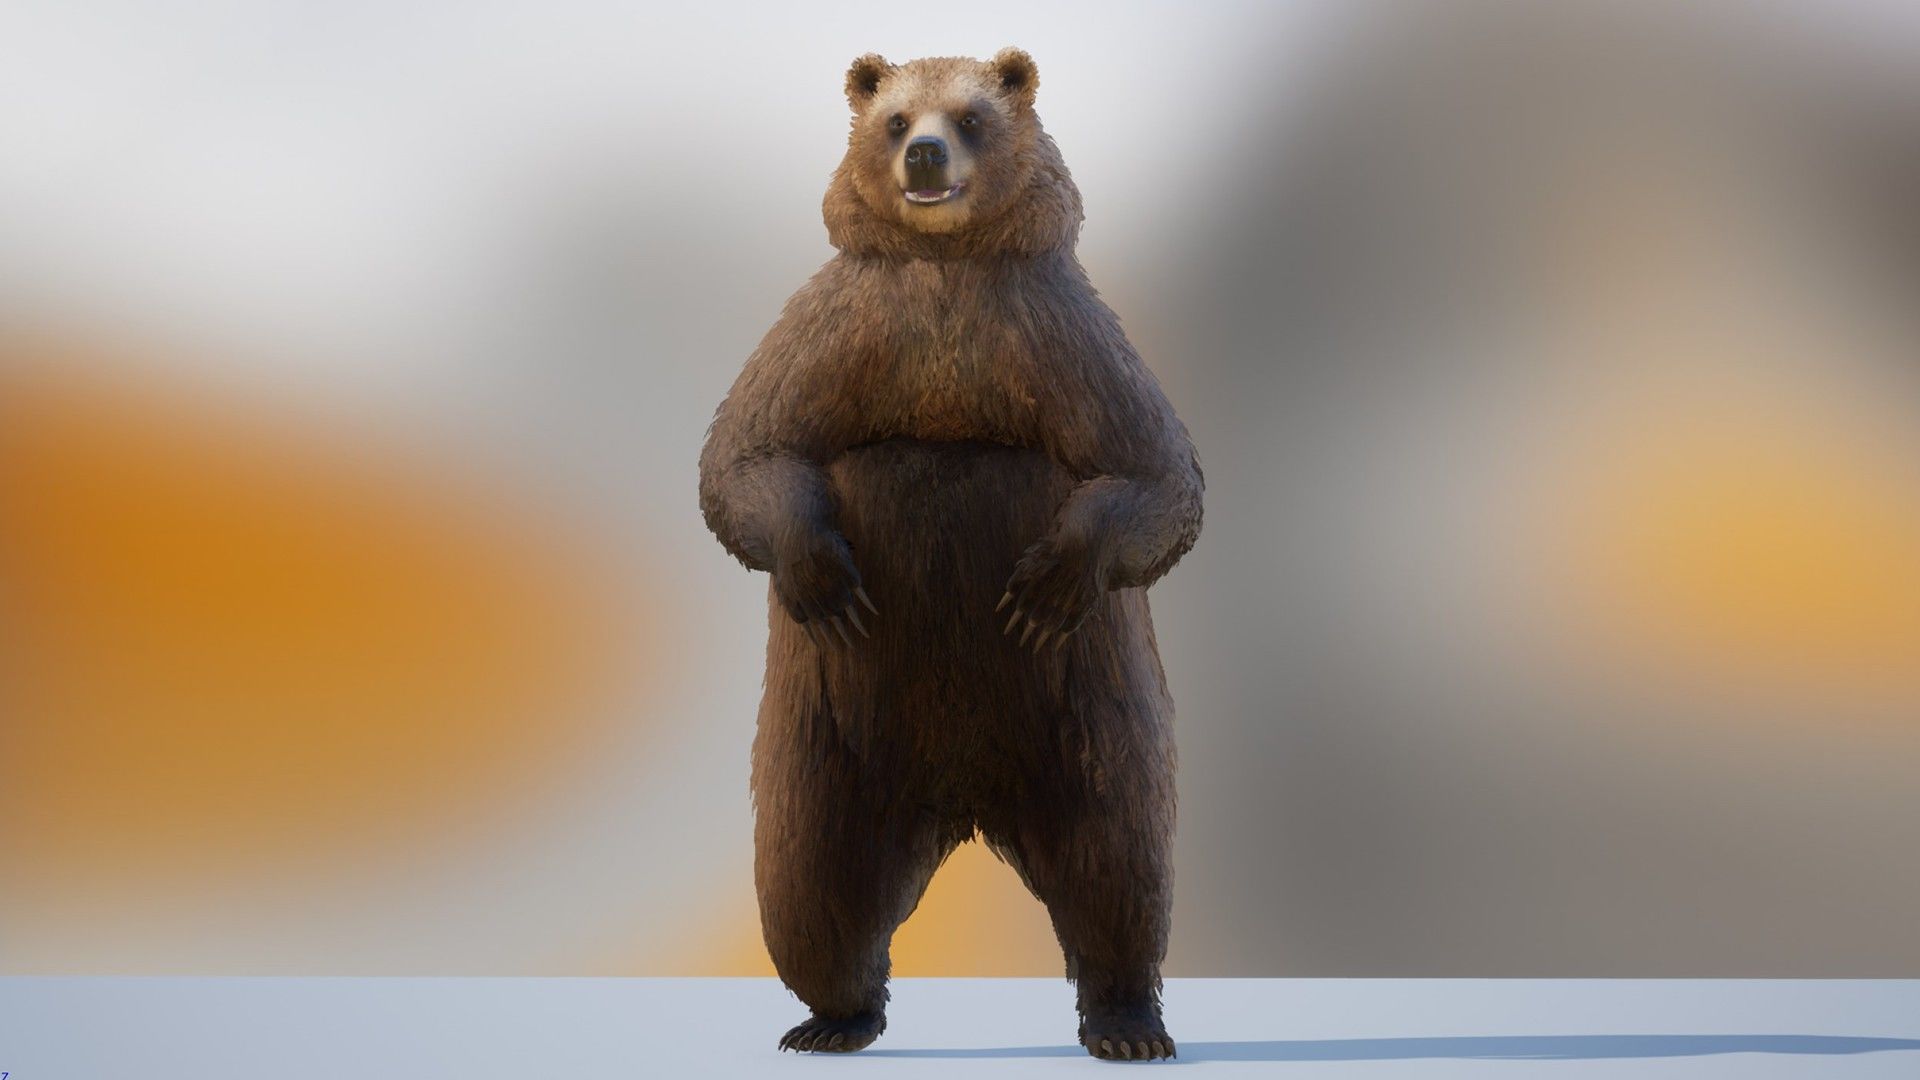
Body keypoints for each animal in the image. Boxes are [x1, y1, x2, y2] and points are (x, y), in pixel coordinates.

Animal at [697, 48, 1203, 1061]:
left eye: (970, 115)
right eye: (897, 119)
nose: (925, 156)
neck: (946, 275)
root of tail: (965, 803)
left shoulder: (1061, 335)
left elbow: (1156, 472)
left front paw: (1046, 584)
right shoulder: (841, 324)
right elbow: (746, 453)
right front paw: (826, 579)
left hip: (1092, 717)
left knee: (1121, 858)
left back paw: (1128, 1020)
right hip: (824, 747)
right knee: (811, 880)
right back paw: (832, 1017)